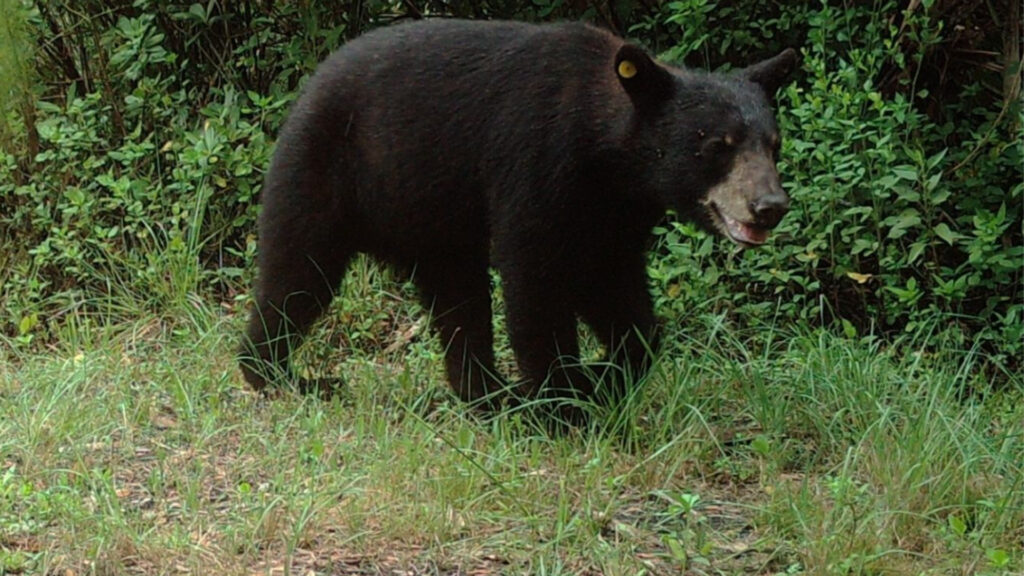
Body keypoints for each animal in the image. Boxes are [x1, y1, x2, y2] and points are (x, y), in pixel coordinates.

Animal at [239, 18, 797, 416]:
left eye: (773, 145)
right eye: (719, 145)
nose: (770, 206)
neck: (605, 153)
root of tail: (308, 86)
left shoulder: (613, 214)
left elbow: (618, 293)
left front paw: (605, 375)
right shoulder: (537, 160)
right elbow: (536, 277)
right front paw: (563, 401)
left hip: (436, 224)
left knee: (457, 299)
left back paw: (488, 393)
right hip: (324, 171)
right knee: (297, 274)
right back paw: (284, 376)